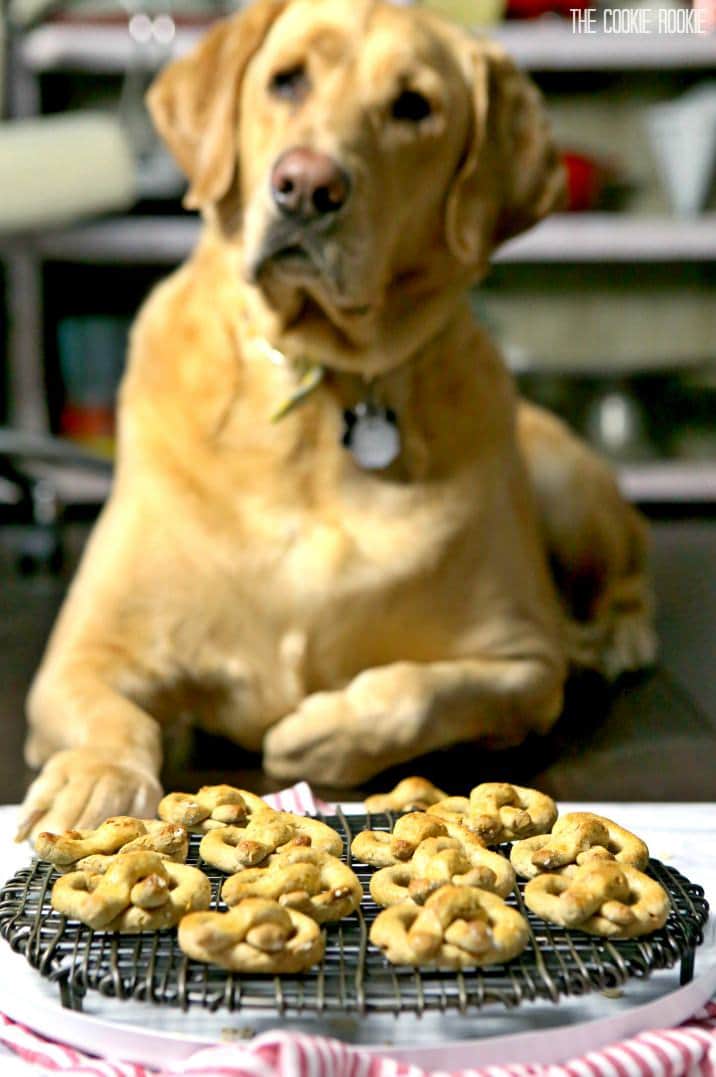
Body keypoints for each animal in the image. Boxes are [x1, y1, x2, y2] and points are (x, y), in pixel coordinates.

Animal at [16, 0, 654, 840]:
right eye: (287, 80)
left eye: (413, 107)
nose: (306, 185)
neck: (318, 385)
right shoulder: (82, 654)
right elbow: (112, 717)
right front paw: (94, 782)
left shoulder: (523, 663)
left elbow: (419, 690)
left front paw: (317, 730)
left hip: (563, 481)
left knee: (626, 573)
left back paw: (612, 635)